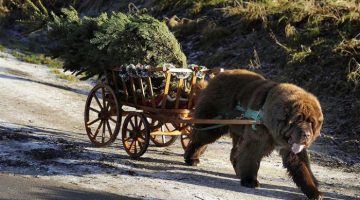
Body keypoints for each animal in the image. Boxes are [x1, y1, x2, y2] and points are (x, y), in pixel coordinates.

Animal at [186, 69, 324, 199]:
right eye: (297, 120)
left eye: (311, 122)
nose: (306, 134)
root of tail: (217, 77)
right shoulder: (256, 140)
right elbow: (251, 157)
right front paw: (249, 180)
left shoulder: (291, 147)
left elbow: (303, 167)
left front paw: (314, 191)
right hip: (212, 123)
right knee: (199, 139)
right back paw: (191, 158)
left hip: (239, 131)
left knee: (235, 151)